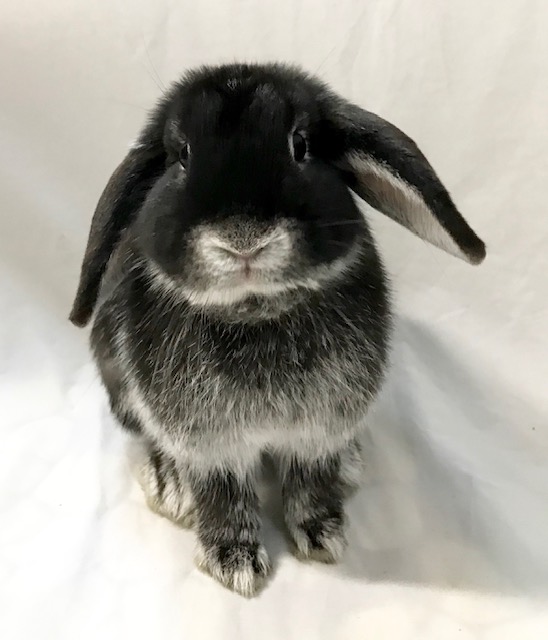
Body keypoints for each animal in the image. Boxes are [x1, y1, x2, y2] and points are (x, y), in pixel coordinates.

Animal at [69, 63, 485, 597]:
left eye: (300, 146)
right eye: (181, 155)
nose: (243, 240)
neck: (255, 314)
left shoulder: (321, 428)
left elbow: (310, 480)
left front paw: (324, 533)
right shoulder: (210, 444)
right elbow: (223, 494)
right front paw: (235, 562)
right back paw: (170, 483)